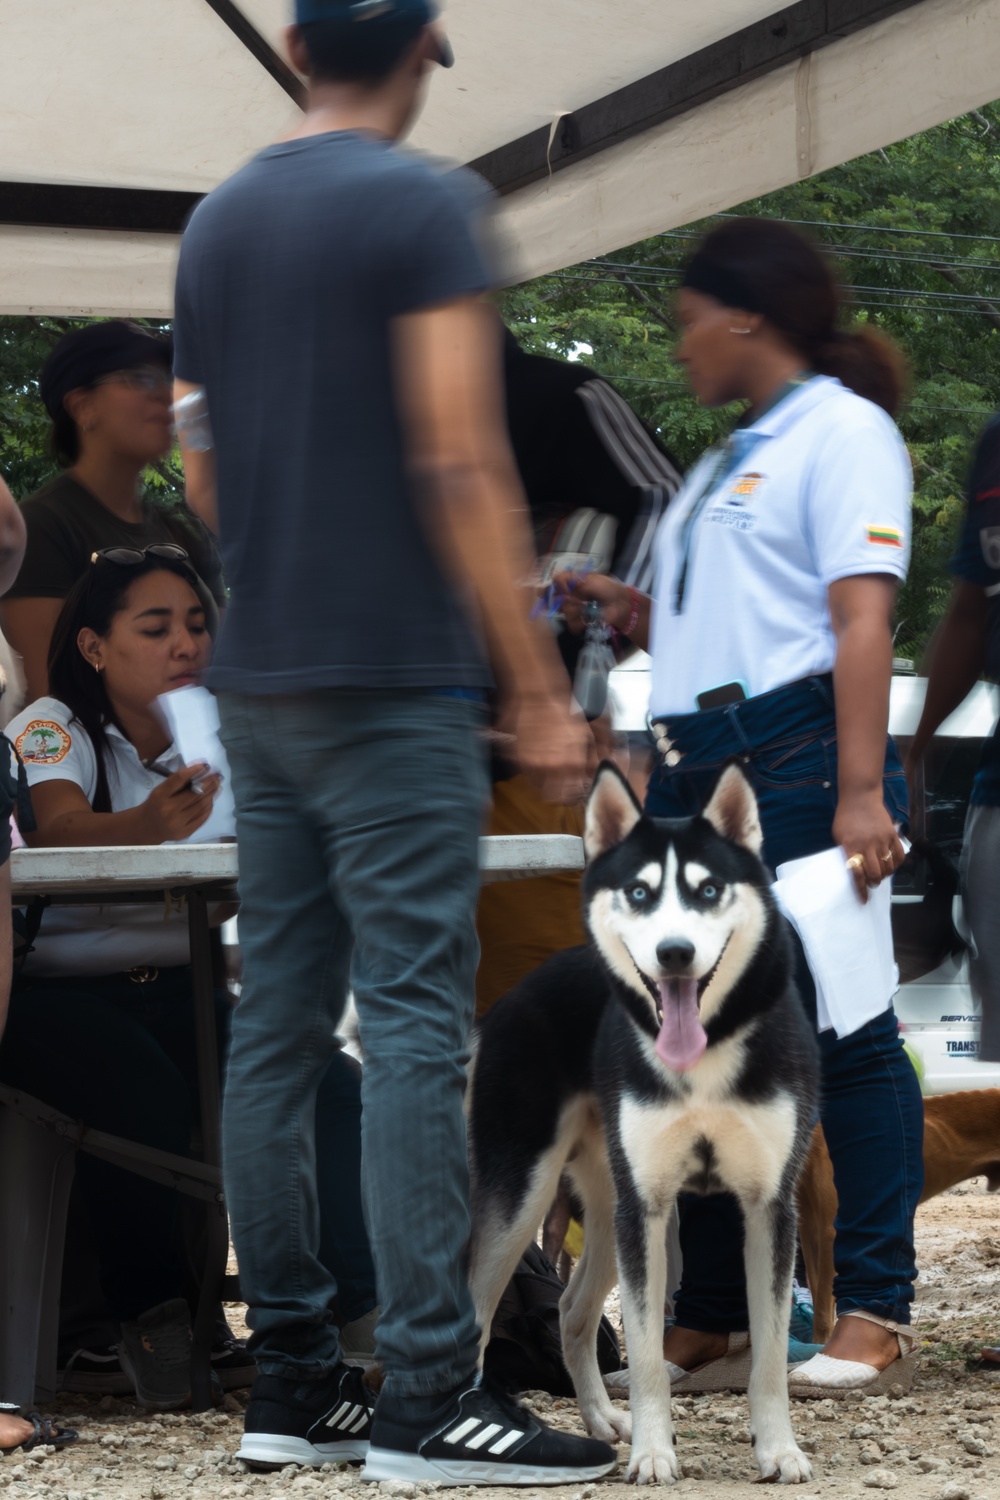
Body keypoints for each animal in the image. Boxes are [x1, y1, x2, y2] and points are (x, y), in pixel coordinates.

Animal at [470, 768, 821, 1482]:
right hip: (529, 1201)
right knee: (476, 1312)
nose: (675, 953)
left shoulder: (769, 1208)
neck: (703, 1056)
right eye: (639, 892)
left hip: (609, 1210)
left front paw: (779, 1450)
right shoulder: (650, 1210)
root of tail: (509, 1000)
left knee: (571, 1312)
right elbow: (650, 1355)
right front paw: (656, 1455)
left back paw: (602, 1420)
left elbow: (769, 1357)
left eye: (708, 890)